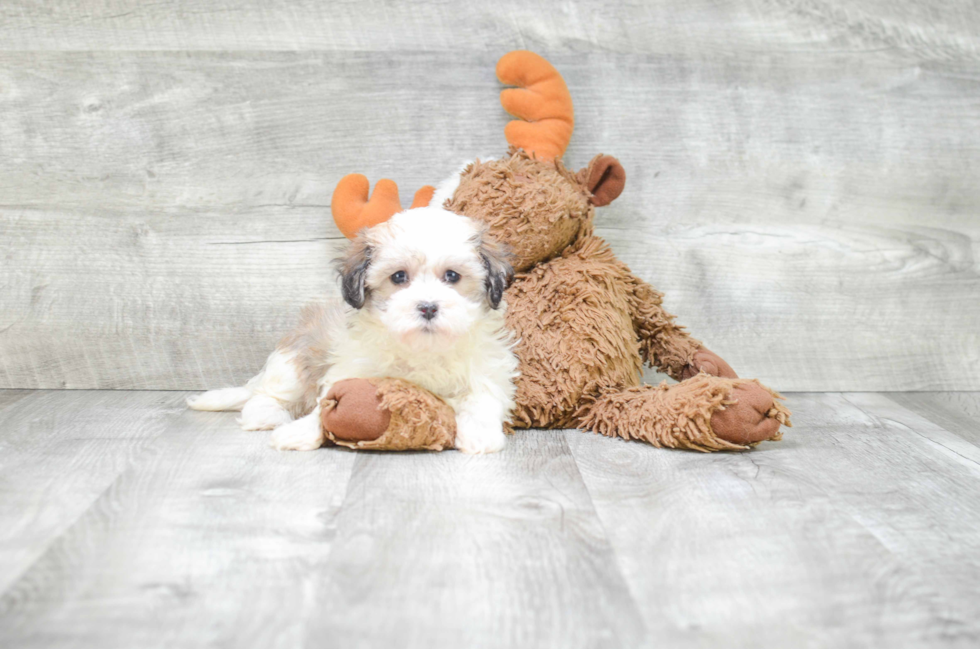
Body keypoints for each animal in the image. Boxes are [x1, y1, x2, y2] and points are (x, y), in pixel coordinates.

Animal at [187, 205, 516, 454]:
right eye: (399, 277)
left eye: (452, 276)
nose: (427, 307)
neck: (421, 348)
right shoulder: (350, 367)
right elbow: (325, 405)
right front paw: (300, 433)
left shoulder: (486, 370)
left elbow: (483, 399)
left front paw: (480, 435)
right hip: (295, 360)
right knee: (265, 396)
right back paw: (270, 416)